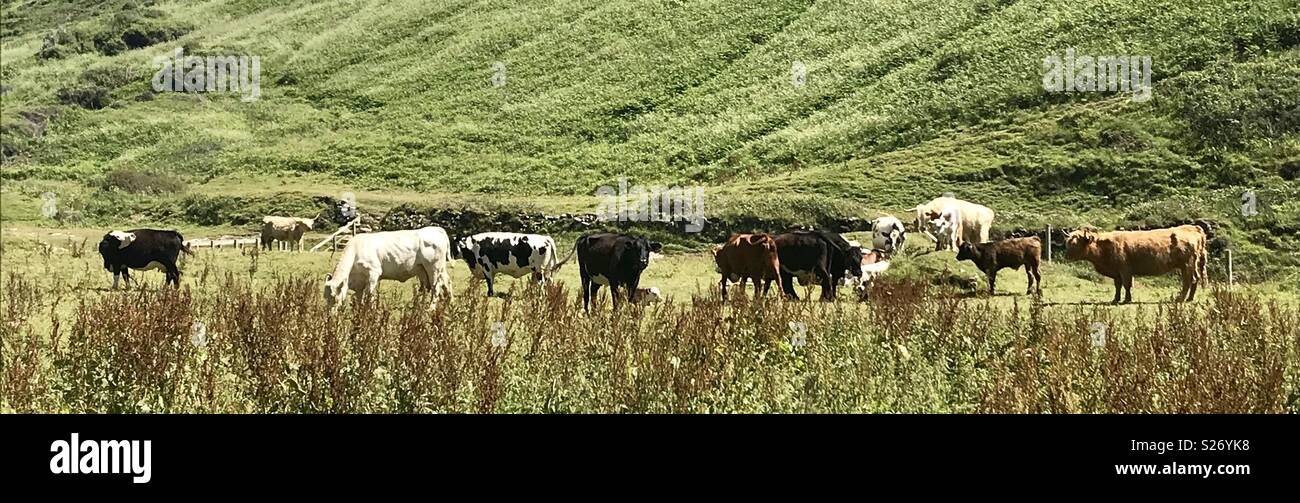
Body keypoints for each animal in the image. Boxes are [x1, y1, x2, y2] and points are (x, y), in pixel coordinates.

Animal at [322, 226, 453, 310]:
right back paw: (448, 302)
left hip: (433, 267)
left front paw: (370, 310)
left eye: (334, 297)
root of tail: (436, 229)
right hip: (428, 269)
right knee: (444, 282)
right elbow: (360, 296)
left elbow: (369, 294)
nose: (329, 315)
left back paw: (430, 308)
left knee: (436, 286)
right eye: (325, 297)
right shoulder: (359, 283)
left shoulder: (374, 273)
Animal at [1064, 225, 1208, 304]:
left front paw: (1127, 299)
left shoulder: (1125, 269)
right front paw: (1115, 299)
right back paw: (1189, 299)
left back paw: (1180, 299)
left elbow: (1127, 285)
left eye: (1075, 243)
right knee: (1195, 279)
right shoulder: (1116, 272)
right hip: (1192, 265)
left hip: (1187, 264)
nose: (1066, 256)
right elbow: (1118, 286)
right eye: (1067, 242)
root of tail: (1193, 228)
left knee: (1188, 280)